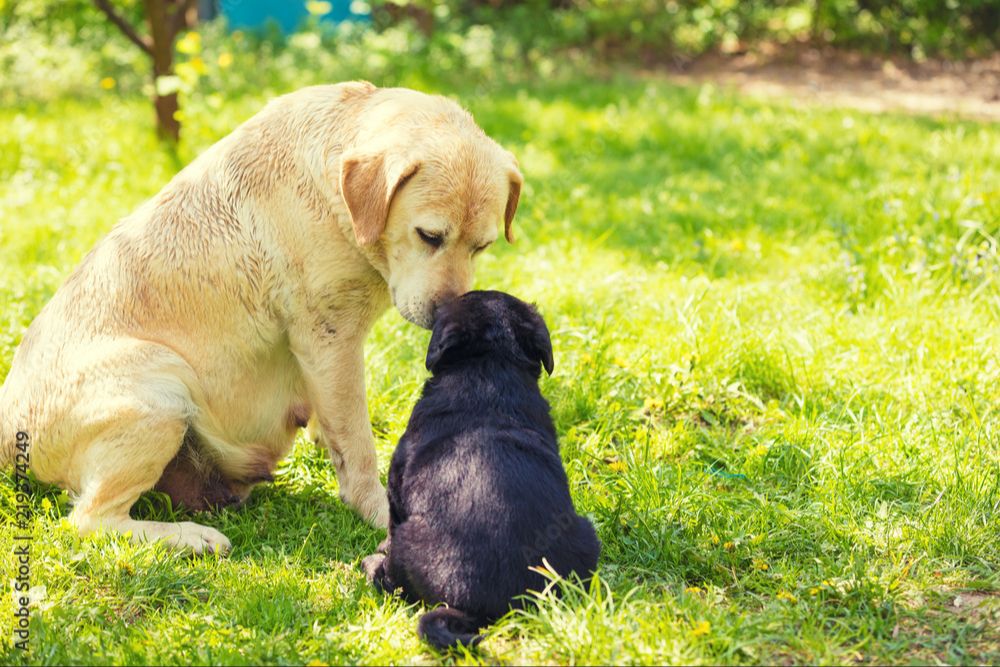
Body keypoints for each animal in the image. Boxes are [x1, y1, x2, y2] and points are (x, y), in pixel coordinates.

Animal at [1, 82, 524, 552]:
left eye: (483, 246)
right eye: (429, 236)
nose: (449, 317)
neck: (340, 200)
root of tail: (8, 437)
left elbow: (337, 425)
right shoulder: (329, 340)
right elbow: (356, 445)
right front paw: (378, 508)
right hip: (162, 388)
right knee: (90, 520)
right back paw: (191, 537)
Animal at [364, 290, 596, 648]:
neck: (490, 366)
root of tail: (482, 608)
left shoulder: (396, 489)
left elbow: (388, 527)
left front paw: (377, 551)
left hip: (408, 541)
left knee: (395, 581)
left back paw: (371, 566)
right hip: (587, 535)